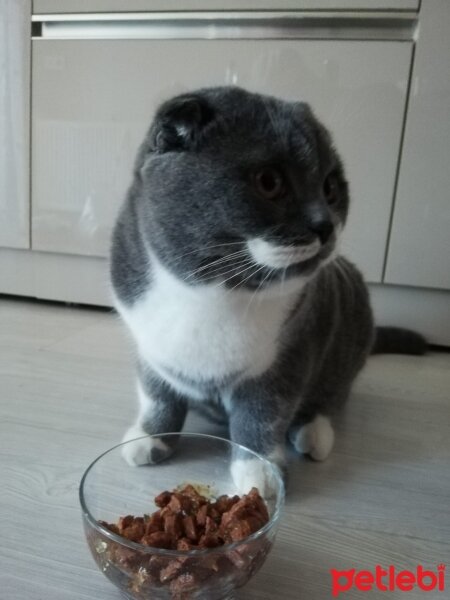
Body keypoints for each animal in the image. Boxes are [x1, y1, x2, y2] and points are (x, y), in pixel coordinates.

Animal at [110, 86, 426, 492]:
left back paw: (314, 434)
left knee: (332, 395)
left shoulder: (287, 357)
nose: (325, 225)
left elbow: (263, 416)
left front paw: (260, 474)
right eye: (270, 181)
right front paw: (149, 437)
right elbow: (156, 396)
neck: (209, 292)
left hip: (353, 313)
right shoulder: (150, 350)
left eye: (330, 187)